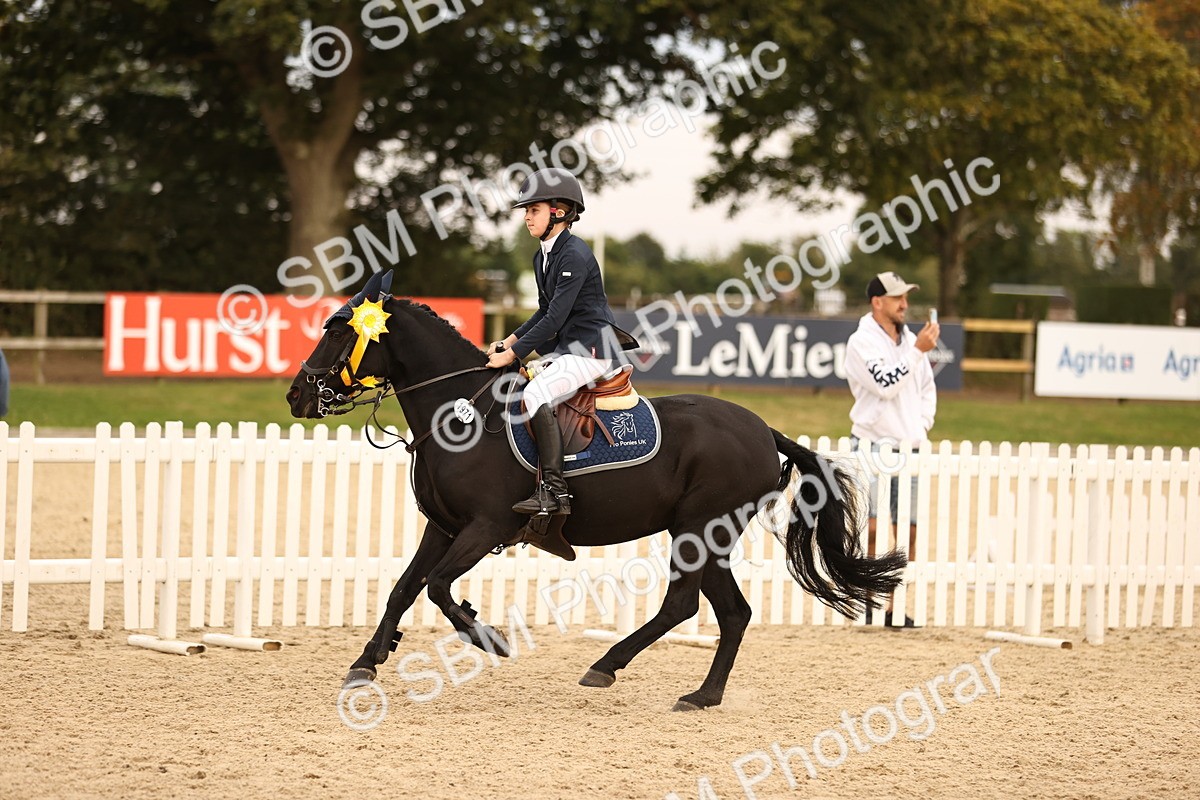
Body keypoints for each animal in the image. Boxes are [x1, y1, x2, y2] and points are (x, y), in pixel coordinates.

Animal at [287, 272, 906, 711]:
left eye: (339, 331)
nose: (297, 396)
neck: (460, 413)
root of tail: (762, 429)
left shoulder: (485, 527)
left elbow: (438, 588)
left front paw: (489, 638)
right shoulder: (442, 527)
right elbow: (404, 588)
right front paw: (366, 662)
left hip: (699, 530)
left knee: (685, 605)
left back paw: (610, 666)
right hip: (708, 536)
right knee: (731, 613)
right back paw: (702, 695)